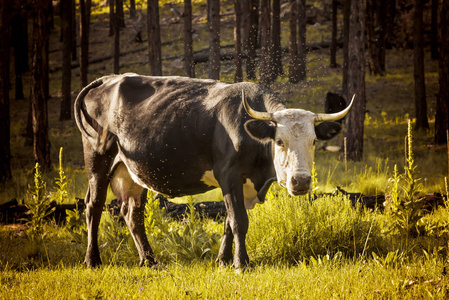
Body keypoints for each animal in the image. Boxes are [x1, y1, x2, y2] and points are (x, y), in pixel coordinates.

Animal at [74, 73, 354, 270]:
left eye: (313, 141)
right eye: (279, 141)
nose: (301, 181)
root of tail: (108, 79)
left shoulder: (239, 184)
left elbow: (229, 221)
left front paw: (223, 260)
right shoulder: (228, 175)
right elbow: (239, 220)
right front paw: (242, 263)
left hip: (133, 172)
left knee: (133, 213)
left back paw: (150, 261)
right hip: (98, 160)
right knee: (93, 206)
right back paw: (92, 260)